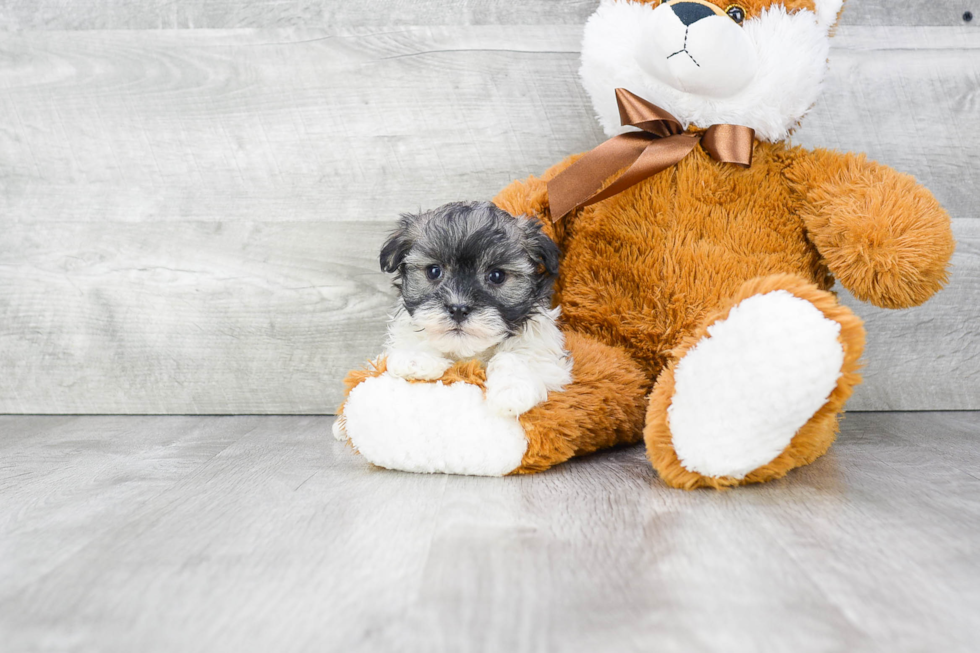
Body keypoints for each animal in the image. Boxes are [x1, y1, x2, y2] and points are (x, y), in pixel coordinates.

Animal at [378, 200, 576, 418]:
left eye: (497, 275)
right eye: (434, 271)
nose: (458, 308)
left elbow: (518, 354)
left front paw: (511, 391)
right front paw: (414, 358)